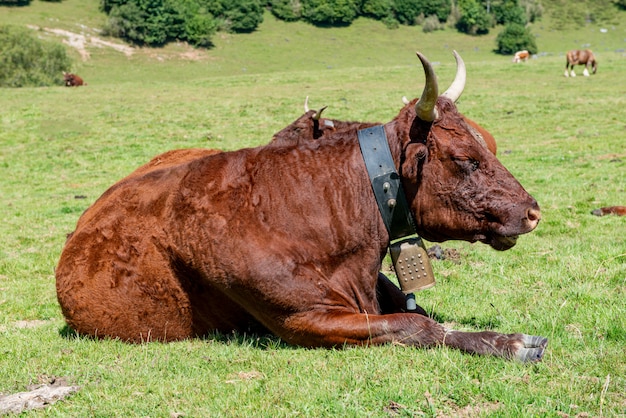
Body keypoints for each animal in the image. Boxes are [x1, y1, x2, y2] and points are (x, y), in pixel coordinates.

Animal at [56, 50, 544, 360]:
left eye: (483, 147)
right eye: (465, 159)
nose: (533, 211)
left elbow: (423, 315)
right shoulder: (300, 319)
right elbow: (417, 327)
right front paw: (510, 344)